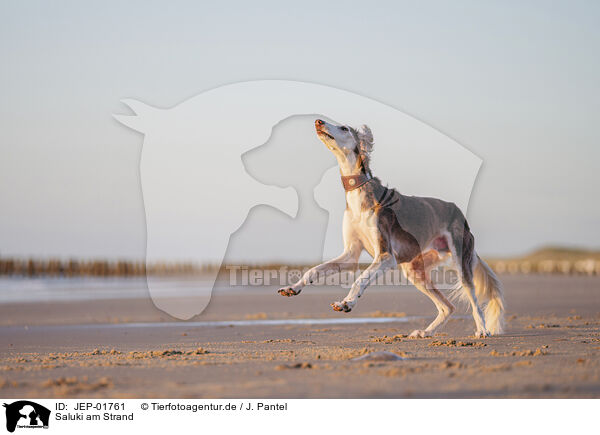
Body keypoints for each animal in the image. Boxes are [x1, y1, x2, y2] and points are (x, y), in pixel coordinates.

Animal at [278, 118, 504, 338]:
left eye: (343, 128)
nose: (318, 121)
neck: (358, 191)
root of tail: (459, 213)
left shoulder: (386, 256)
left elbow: (360, 279)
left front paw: (347, 302)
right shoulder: (351, 254)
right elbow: (314, 270)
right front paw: (293, 287)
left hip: (460, 259)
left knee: (474, 302)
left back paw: (482, 330)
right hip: (415, 269)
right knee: (448, 307)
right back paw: (425, 332)